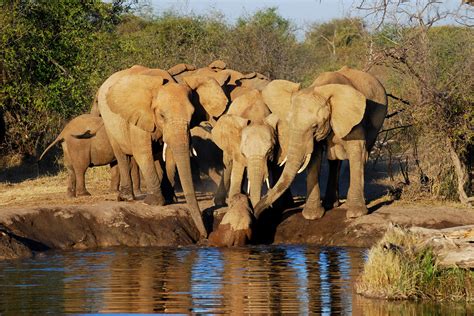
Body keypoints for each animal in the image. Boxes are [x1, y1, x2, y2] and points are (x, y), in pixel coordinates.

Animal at [97, 65, 229, 237]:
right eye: (161, 115)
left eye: (192, 115)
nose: (204, 235)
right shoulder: (140, 117)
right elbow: (142, 153)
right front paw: (154, 203)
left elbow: (170, 155)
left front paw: (169, 200)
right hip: (109, 121)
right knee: (122, 155)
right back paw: (126, 197)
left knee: (158, 157)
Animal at [254, 66, 386, 220]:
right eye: (289, 123)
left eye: (314, 126)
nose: (256, 214)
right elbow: (314, 157)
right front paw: (312, 216)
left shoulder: (354, 120)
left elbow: (356, 151)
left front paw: (356, 214)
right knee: (334, 162)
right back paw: (330, 204)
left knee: (364, 154)